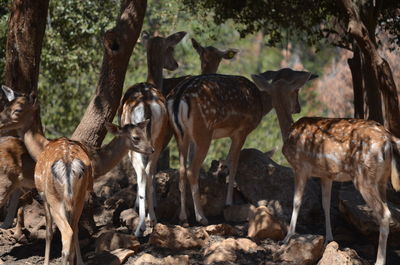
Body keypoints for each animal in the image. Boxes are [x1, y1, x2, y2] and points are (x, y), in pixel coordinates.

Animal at [0, 85, 154, 262]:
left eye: (17, 109)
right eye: (7, 106)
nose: (151, 149)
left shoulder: (43, 193)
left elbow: (51, 231)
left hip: (49, 194)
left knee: (67, 232)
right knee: (70, 230)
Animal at [252, 67, 398, 264]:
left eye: (296, 90)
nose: (297, 108)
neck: (288, 131)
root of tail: (387, 140)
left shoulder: (300, 166)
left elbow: (296, 201)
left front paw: (287, 238)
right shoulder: (326, 175)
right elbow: (326, 204)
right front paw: (329, 238)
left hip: (364, 176)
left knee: (384, 214)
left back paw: (379, 260)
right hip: (382, 178)